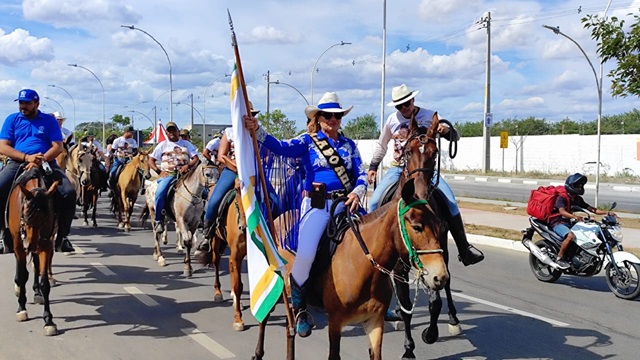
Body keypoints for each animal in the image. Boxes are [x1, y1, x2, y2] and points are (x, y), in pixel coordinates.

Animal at [7, 167, 59, 336]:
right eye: (24, 213)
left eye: (46, 217)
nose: (30, 245)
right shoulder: (18, 243)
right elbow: (22, 275)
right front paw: (21, 308)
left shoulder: (46, 244)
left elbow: (44, 283)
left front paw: (48, 320)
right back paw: (18, 288)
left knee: (36, 265)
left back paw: (37, 293)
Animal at [252, 115, 448, 360]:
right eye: (417, 226)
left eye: (440, 226)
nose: (440, 276)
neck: (365, 266)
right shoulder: (336, 321)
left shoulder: (374, 322)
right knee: (266, 316)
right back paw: (261, 350)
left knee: (290, 331)